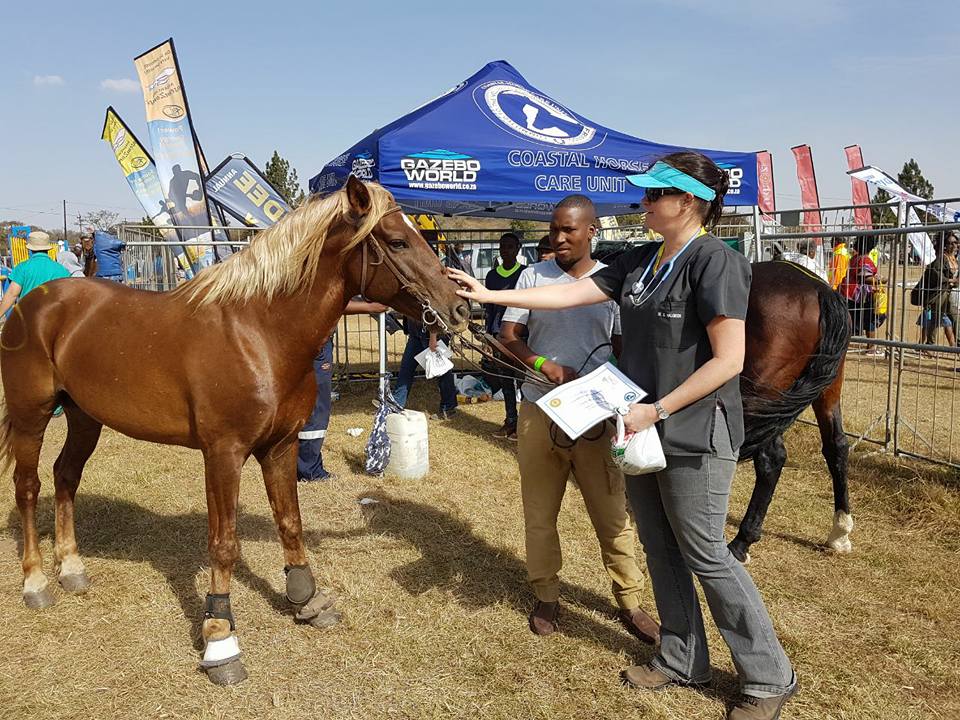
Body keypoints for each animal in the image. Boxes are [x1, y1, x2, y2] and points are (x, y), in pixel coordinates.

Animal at [0, 177, 472, 684]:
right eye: (398, 241)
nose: (461, 308)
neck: (259, 332)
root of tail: (34, 302)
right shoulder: (223, 453)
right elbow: (224, 543)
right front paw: (220, 637)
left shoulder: (281, 446)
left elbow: (290, 523)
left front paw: (306, 599)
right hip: (32, 415)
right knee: (28, 486)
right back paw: (36, 581)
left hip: (85, 417)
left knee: (66, 476)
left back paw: (71, 568)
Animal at [732, 262, 852, 564]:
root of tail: (819, 290)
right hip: (827, 386)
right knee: (836, 446)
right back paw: (840, 531)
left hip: (762, 390)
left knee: (771, 458)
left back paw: (741, 542)